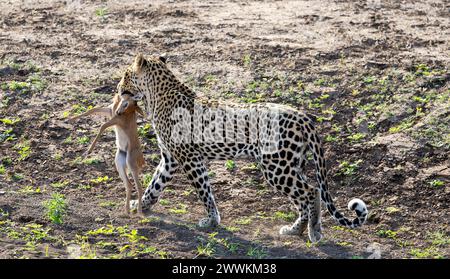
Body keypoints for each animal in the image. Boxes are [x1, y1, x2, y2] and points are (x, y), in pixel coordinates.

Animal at [117, 54, 370, 243]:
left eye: (126, 76)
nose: (118, 87)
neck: (157, 95)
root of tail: (302, 116)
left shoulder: (189, 158)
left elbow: (204, 191)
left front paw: (212, 221)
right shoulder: (170, 158)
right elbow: (155, 184)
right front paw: (142, 205)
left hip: (276, 168)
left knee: (311, 191)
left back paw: (314, 231)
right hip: (291, 164)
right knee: (305, 196)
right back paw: (294, 229)